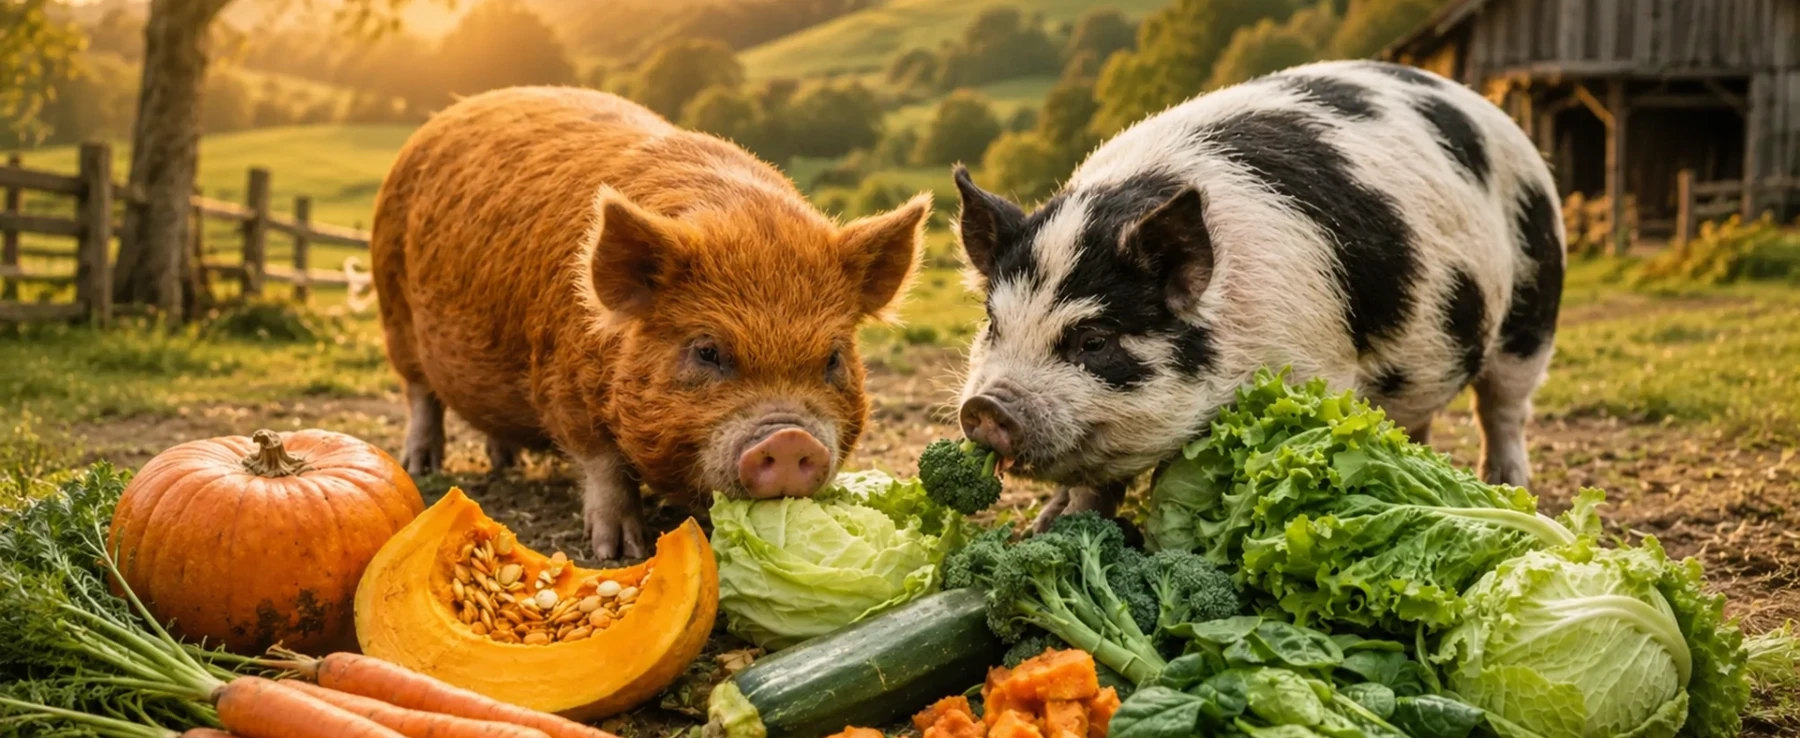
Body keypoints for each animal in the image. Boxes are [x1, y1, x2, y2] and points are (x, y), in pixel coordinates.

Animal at [371, 87, 930, 559]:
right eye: (707, 350)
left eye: (833, 357)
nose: (790, 439)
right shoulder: (561, 380)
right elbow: (603, 466)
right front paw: (619, 551)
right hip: (393, 305)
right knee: (420, 394)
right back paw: (423, 465)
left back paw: (507, 461)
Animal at [952, 60, 1565, 529]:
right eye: (993, 325)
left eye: (1094, 340)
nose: (986, 406)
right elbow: (1093, 483)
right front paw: (1048, 529)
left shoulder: (1314, 371)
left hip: (1533, 309)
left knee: (1503, 407)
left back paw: (1509, 486)